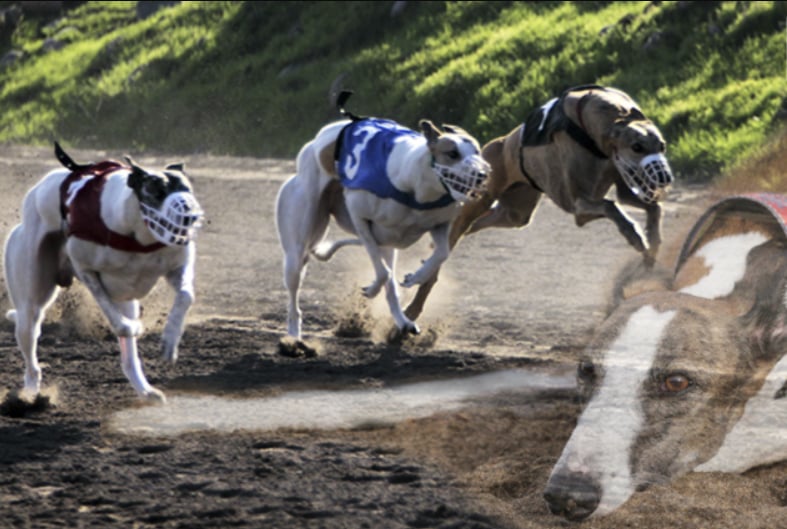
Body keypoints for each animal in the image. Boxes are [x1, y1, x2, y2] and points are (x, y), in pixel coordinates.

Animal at [2, 142, 203, 402]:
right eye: (157, 192)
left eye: (187, 189)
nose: (190, 215)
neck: (138, 236)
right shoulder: (85, 269)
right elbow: (117, 320)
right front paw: (132, 327)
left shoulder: (178, 268)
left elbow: (186, 296)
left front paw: (170, 340)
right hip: (30, 302)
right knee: (31, 348)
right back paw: (30, 394)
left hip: (128, 300)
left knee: (129, 359)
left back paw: (145, 390)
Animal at [274, 93, 490, 344]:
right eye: (452, 154)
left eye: (477, 152)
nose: (482, 175)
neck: (416, 187)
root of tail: (315, 143)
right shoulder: (359, 217)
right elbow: (383, 272)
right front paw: (372, 289)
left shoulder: (439, 224)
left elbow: (441, 253)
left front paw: (416, 277)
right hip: (299, 246)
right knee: (294, 293)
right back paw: (294, 337)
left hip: (387, 242)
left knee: (392, 288)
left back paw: (404, 322)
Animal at [406, 84, 672, 320]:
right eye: (636, 146)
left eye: (662, 145)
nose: (664, 178)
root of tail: (494, 145)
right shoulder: (578, 205)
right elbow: (610, 205)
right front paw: (634, 235)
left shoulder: (621, 184)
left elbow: (652, 207)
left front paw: (652, 248)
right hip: (481, 203)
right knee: (449, 245)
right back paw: (413, 306)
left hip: (516, 212)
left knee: (480, 224)